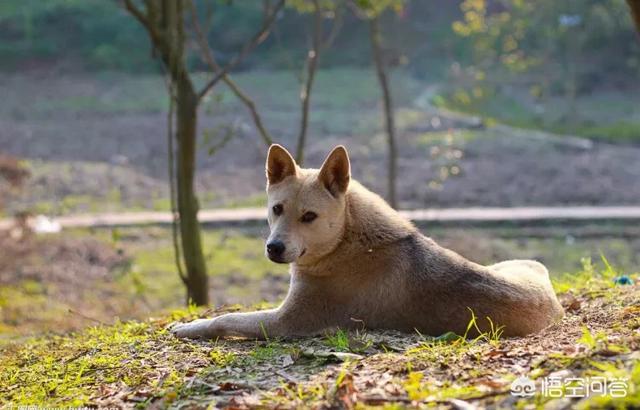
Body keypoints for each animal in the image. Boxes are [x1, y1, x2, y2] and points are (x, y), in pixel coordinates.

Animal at [171, 145, 564, 340]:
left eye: (309, 217)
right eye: (277, 209)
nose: (274, 248)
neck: (346, 241)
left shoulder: (286, 322)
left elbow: (225, 319)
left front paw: (187, 328)